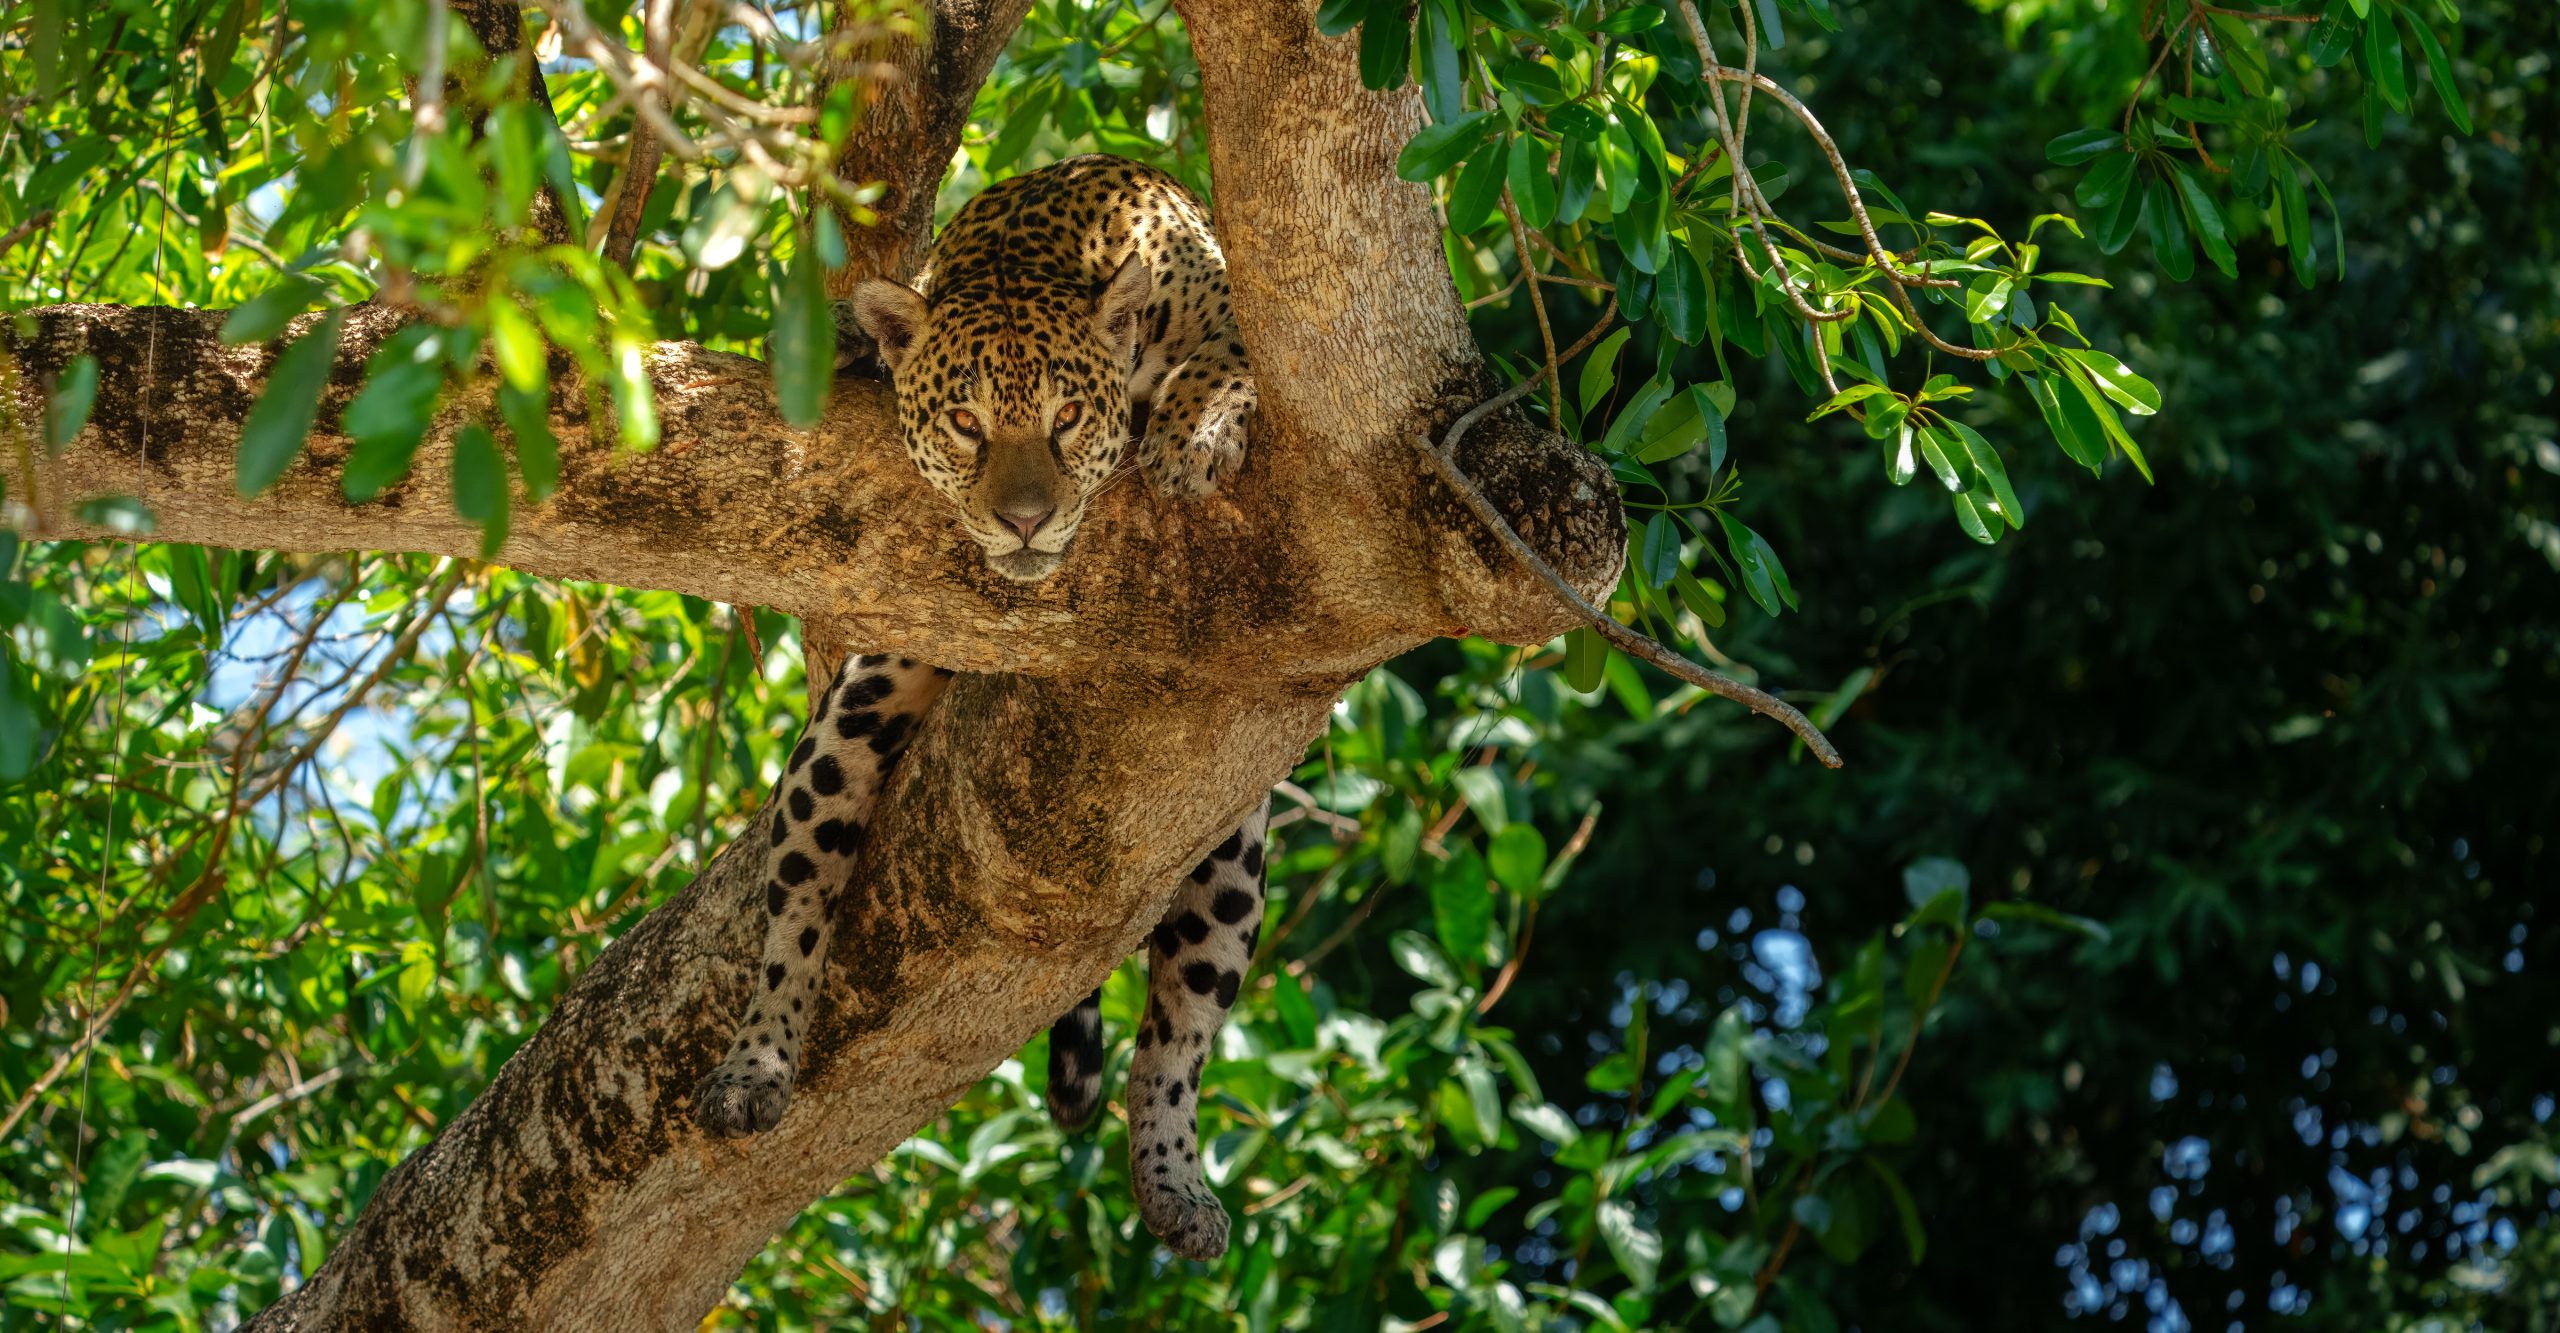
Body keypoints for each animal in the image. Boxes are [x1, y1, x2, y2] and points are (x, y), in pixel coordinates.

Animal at [693, 155, 1267, 1262]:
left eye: (1066, 419)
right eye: (965, 425)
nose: (1026, 520)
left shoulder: (1240, 320)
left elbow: (1226, 361)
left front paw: (1187, 435)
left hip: (1233, 851)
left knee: (1177, 1036)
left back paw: (1175, 1182)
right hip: (853, 715)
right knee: (796, 903)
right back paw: (755, 1067)